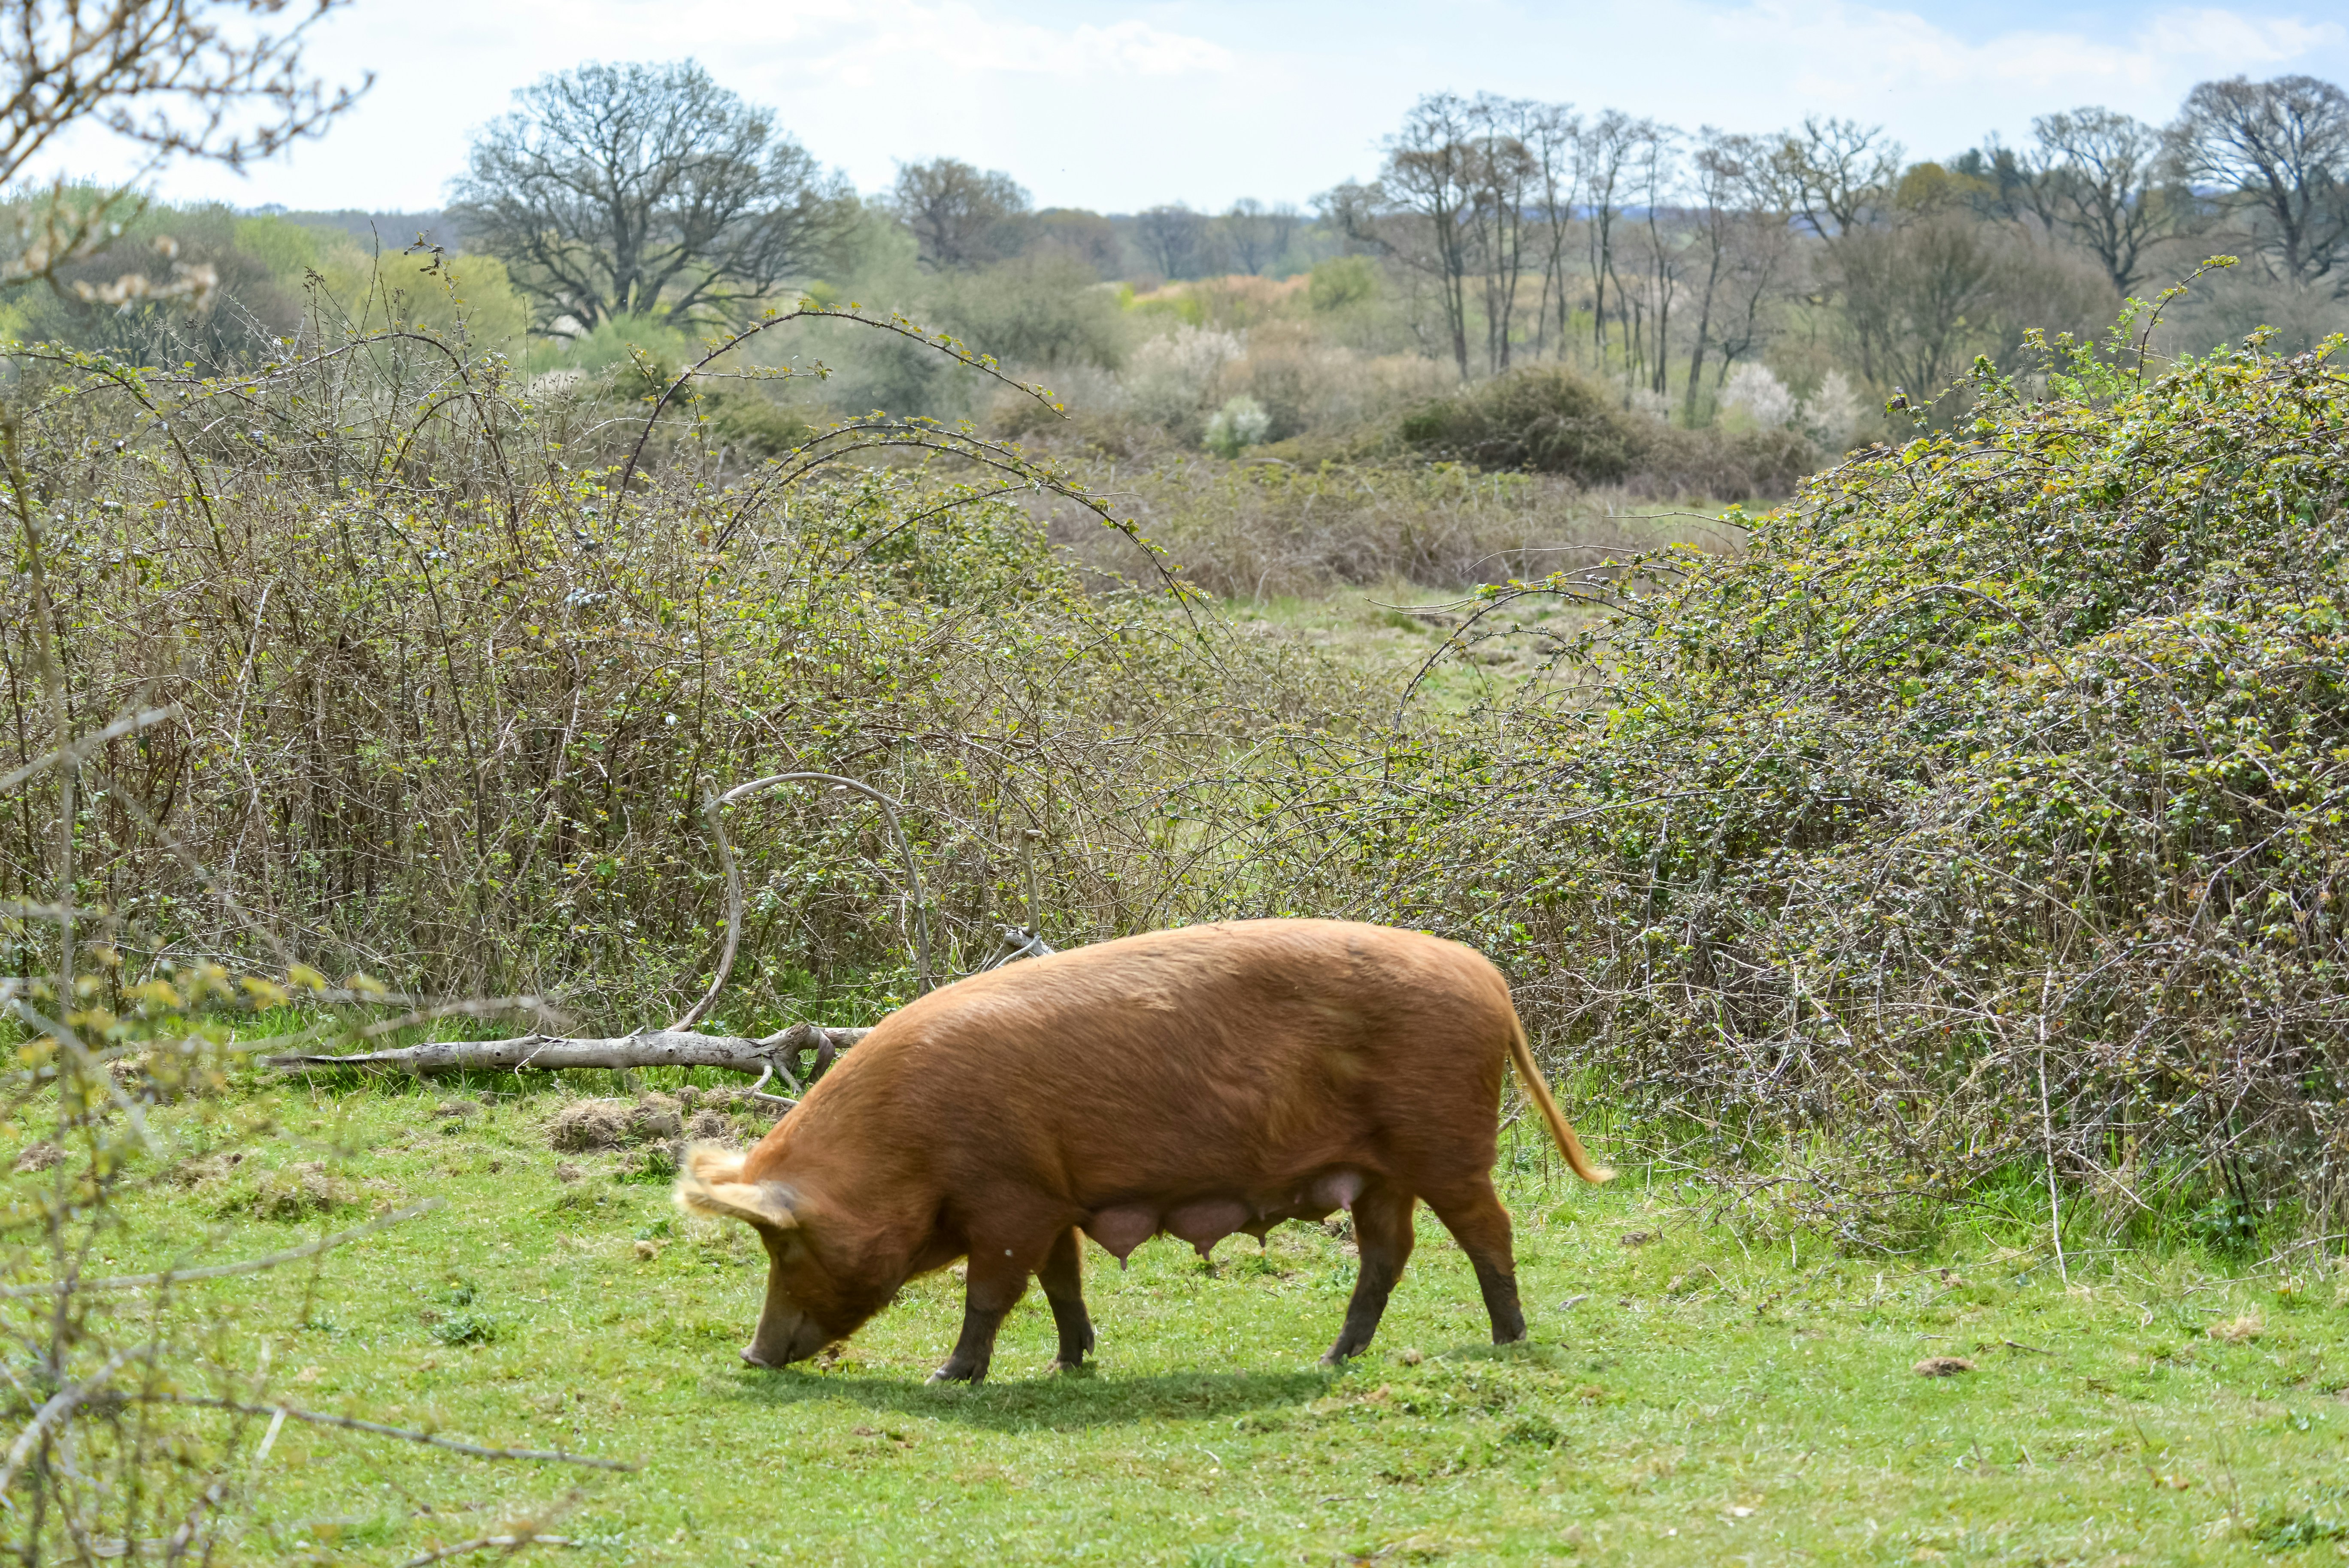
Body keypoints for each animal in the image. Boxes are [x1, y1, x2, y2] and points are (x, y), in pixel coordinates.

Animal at [675, 918, 1611, 1383]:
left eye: (786, 1243)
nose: (751, 1355)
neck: (909, 1145)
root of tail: (1485, 976)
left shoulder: (1008, 1196)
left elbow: (991, 1290)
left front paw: (949, 1375)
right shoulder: (1051, 1197)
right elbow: (1062, 1282)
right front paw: (1069, 1362)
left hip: (1447, 1143)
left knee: (1488, 1231)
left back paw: (1507, 1341)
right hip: (1381, 1171)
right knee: (1389, 1252)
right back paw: (1331, 1357)